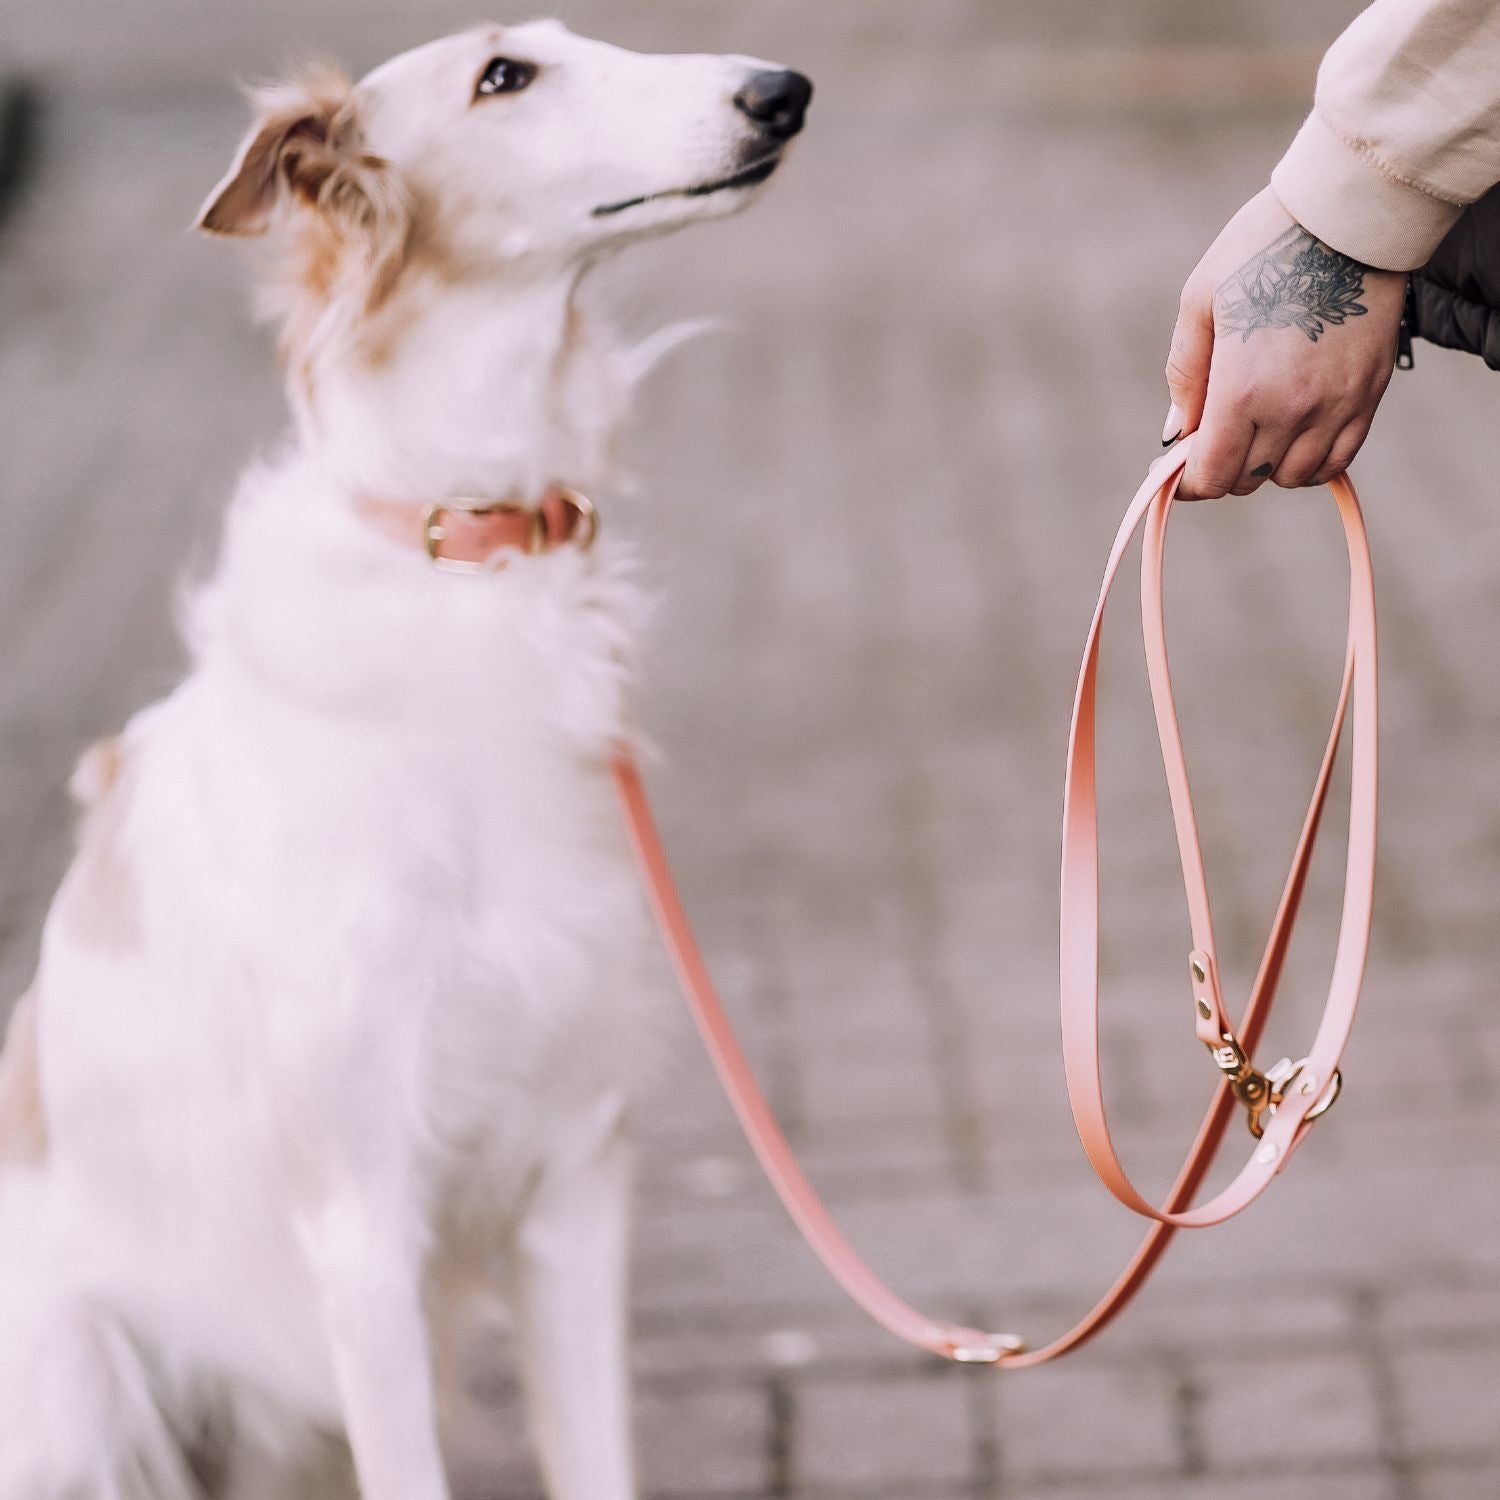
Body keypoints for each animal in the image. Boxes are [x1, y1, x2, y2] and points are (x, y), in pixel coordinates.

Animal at [0, 23, 810, 1500]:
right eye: (503, 76)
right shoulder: (361, 1220)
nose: (783, 90)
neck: (472, 549)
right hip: (80, 1391)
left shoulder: (576, 1176)